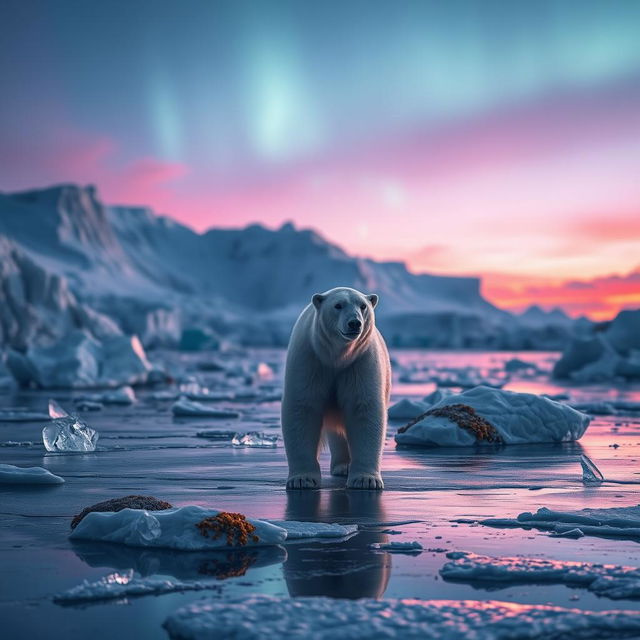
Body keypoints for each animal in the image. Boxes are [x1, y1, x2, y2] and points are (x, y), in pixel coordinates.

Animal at [282, 286, 392, 490]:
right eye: (338, 305)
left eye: (363, 306)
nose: (354, 323)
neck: (337, 357)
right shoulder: (310, 360)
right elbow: (302, 407)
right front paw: (301, 479)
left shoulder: (360, 363)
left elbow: (363, 408)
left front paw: (366, 480)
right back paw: (342, 466)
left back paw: (345, 467)